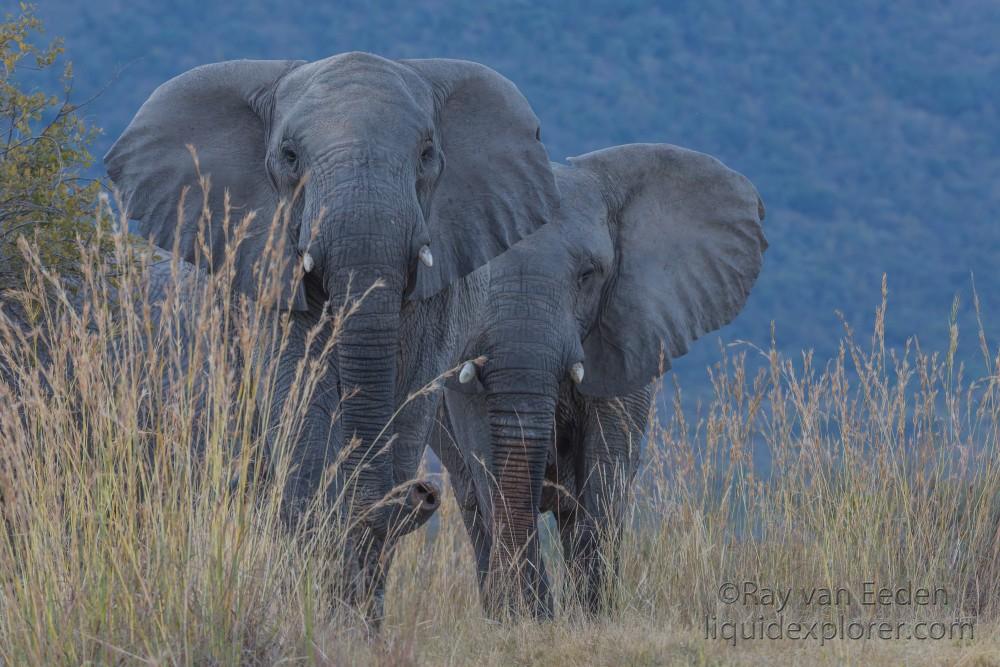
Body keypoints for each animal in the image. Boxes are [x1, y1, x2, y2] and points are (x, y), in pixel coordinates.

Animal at [104, 53, 560, 628]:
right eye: (289, 157)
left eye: (427, 155)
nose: (423, 492)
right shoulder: (265, 274)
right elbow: (303, 398)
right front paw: (324, 614)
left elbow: (408, 402)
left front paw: (356, 618)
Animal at [424, 144, 764, 620]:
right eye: (477, 272)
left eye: (588, 274)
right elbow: (489, 466)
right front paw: (530, 621)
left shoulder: (629, 328)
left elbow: (606, 469)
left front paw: (590, 616)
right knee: (474, 504)